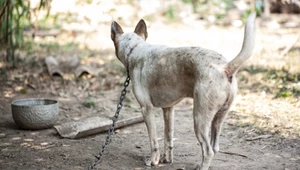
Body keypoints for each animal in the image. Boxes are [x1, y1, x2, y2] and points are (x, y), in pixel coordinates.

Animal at [110, 13, 255, 170]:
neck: (135, 49)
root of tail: (225, 67)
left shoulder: (146, 109)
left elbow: (154, 142)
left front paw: (153, 162)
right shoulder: (168, 109)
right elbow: (168, 139)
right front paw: (167, 160)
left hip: (199, 119)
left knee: (208, 150)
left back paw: (201, 167)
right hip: (219, 117)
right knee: (214, 147)